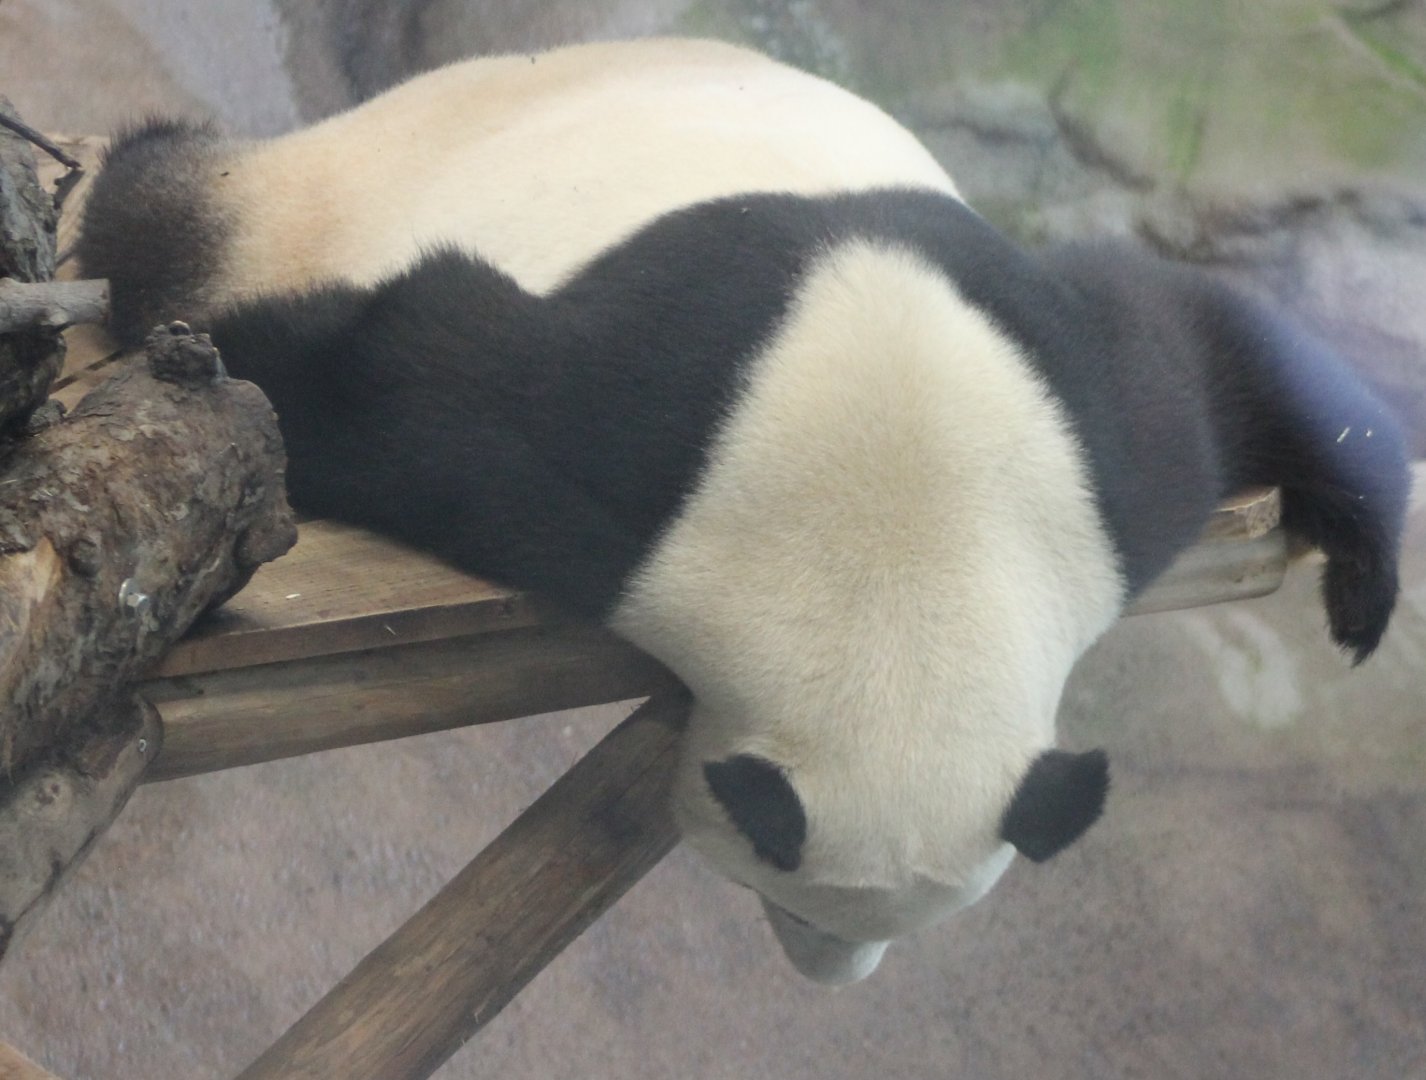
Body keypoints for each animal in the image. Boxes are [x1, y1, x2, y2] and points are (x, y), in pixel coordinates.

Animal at [76, 39, 1411, 986]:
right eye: (782, 896)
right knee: (168, 211)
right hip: (315, 187)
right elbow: (407, 381)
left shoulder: (1082, 448)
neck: (908, 558)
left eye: (931, 919)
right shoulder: (620, 463)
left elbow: (1197, 352)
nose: (831, 977)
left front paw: (1364, 594)